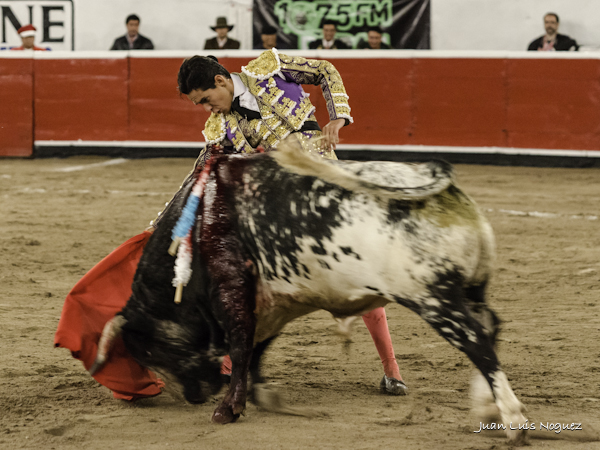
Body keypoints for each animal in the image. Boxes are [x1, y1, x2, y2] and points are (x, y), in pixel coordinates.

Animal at [91, 143, 528, 442]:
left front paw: (228, 409)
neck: (197, 227)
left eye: (150, 350)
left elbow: (240, 346)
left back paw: (513, 420)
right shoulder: (274, 300)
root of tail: (446, 192)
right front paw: (259, 396)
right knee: (490, 327)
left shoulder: (232, 292)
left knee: (477, 342)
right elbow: (255, 350)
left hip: (432, 299)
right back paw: (486, 408)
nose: (194, 396)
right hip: (469, 289)